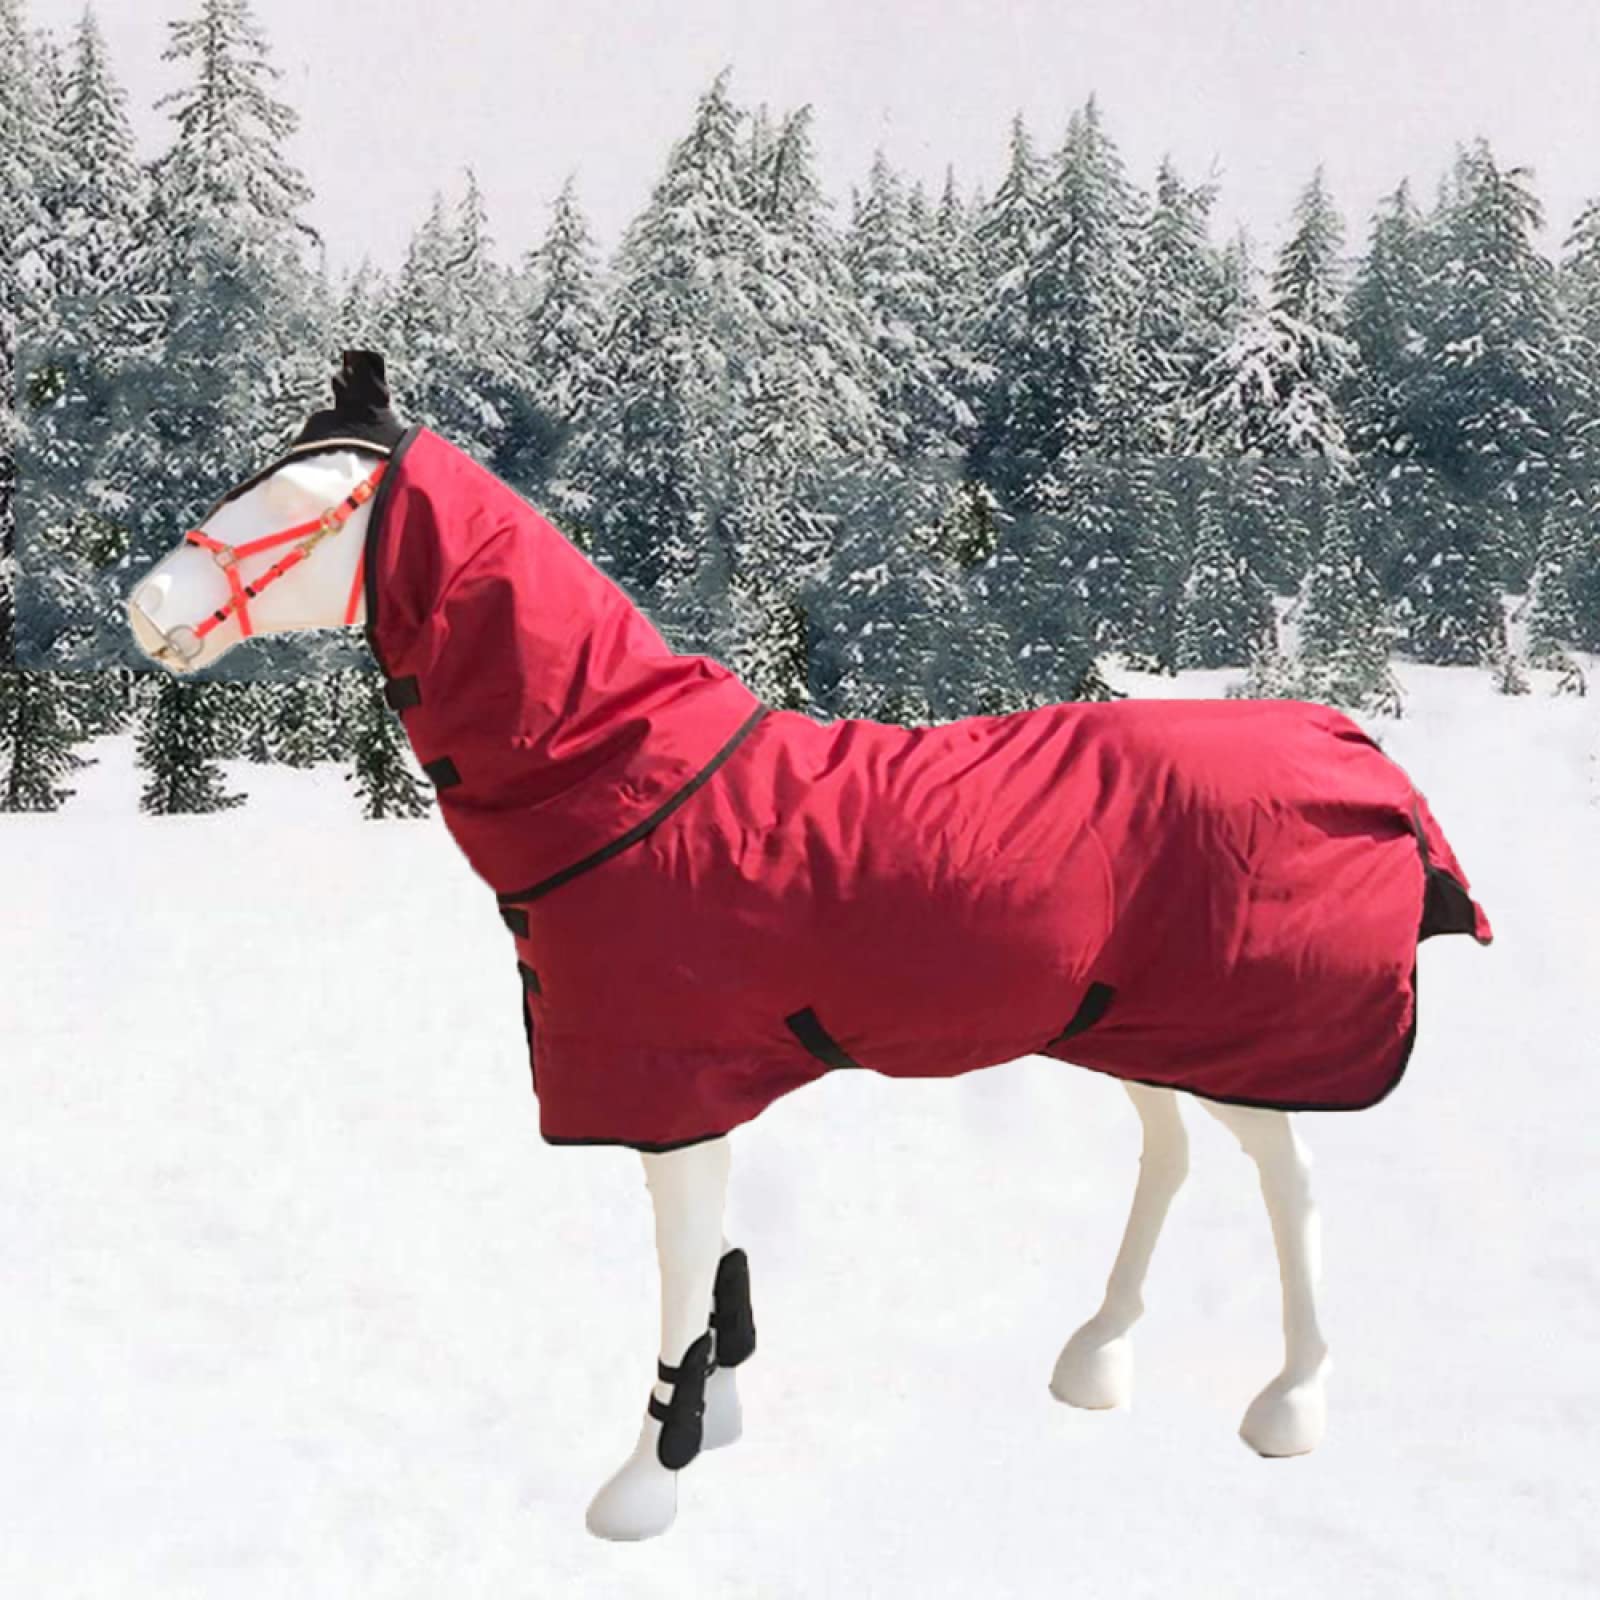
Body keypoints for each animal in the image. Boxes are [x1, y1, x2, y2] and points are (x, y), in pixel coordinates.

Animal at [126, 352, 1491, 1541]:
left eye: (305, 497)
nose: (142, 611)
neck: (627, 773)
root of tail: (1346, 743)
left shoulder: (668, 1089)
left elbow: (681, 1281)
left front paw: (649, 1477)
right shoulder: (696, 1086)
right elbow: (718, 1272)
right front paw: (716, 1412)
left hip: (1243, 1042)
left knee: (1289, 1186)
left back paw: (1291, 1402)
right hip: (1136, 1029)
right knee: (1171, 1160)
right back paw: (1097, 1354)